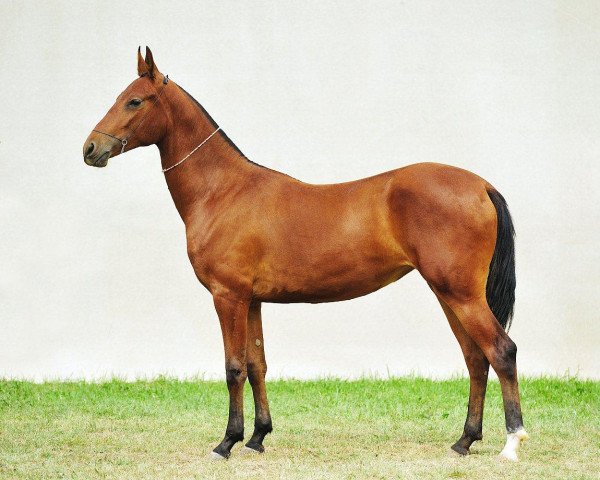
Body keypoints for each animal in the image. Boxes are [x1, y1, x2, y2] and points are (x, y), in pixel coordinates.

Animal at [82, 47, 528, 462]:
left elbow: (233, 368)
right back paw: (464, 441)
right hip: (449, 295)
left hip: (461, 295)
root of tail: (481, 185)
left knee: (501, 351)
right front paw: (258, 437)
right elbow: (257, 365)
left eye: (134, 101)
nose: (90, 148)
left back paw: (512, 443)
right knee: (475, 359)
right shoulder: (252, 301)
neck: (223, 191)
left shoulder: (228, 297)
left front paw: (227, 442)